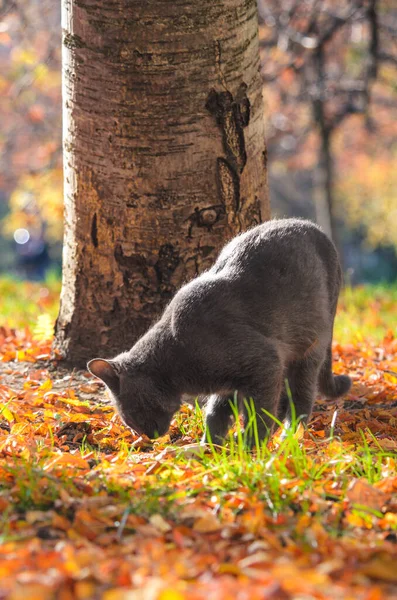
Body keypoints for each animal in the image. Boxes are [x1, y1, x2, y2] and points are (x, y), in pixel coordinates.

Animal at [87, 218, 350, 442]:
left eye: (130, 415)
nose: (146, 436)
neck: (175, 356)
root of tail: (316, 229)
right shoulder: (230, 385)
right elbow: (216, 414)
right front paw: (210, 446)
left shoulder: (264, 364)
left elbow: (258, 412)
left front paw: (251, 445)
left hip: (309, 348)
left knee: (301, 399)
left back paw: (290, 437)